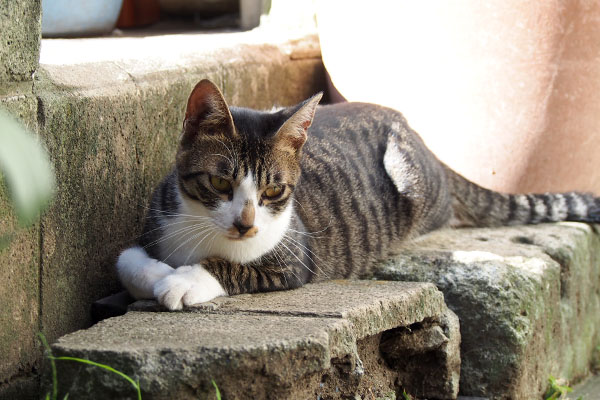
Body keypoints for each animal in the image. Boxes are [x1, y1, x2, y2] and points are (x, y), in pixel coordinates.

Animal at [117, 78, 600, 310]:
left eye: (274, 189)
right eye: (220, 183)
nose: (245, 224)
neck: (200, 231)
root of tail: (421, 137)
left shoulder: (295, 259)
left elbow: (234, 268)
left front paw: (182, 280)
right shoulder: (158, 216)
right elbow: (125, 259)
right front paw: (156, 273)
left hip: (408, 177)